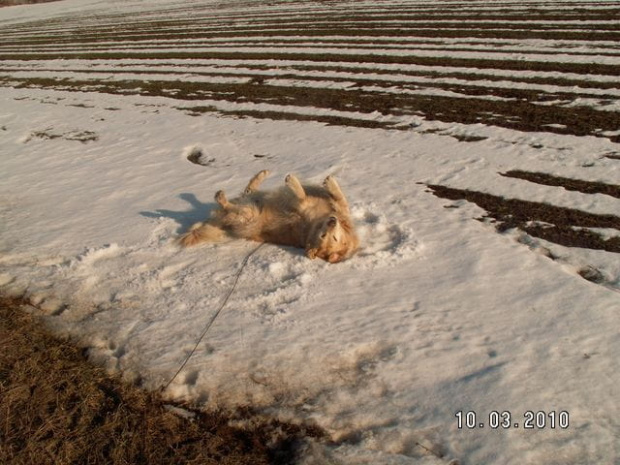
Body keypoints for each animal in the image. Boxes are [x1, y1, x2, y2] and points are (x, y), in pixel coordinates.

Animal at [179, 170, 360, 262]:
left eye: (332, 238)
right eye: (324, 236)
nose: (332, 221)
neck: (316, 223)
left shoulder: (305, 205)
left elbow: (304, 195)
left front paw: (294, 182)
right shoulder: (335, 210)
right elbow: (339, 197)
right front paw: (329, 183)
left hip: (248, 213)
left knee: (232, 205)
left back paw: (221, 196)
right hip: (252, 203)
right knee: (249, 190)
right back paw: (262, 174)